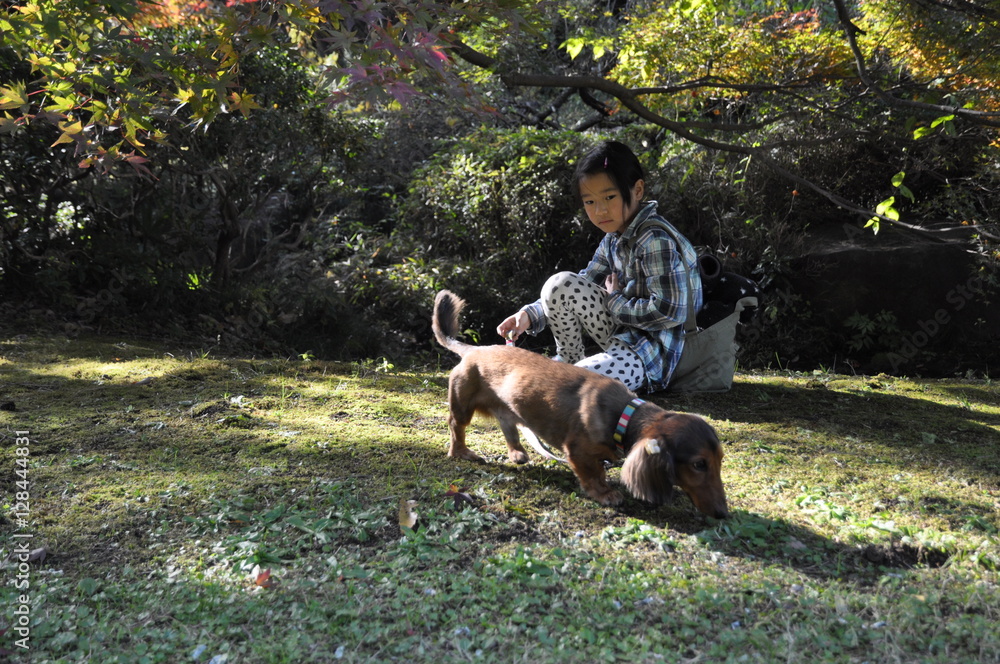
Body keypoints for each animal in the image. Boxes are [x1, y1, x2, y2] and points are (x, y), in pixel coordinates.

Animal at [430, 290, 728, 520]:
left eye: (719, 461)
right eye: (699, 464)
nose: (723, 514)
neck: (623, 414)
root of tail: (474, 350)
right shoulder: (578, 451)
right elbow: (593, 473)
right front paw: (604, 493)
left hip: (508, 408)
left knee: (509, 428)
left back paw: (517, 453)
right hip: (462, 404)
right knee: (456, 428)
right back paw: (461, 452)